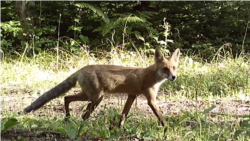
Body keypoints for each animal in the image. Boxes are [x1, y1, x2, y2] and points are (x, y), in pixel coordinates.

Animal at [22, 48, 180, 128]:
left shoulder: (131, 95)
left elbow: (123, 115)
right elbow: (161, 117)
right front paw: (167, 129)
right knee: (83, 115)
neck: (152, 76)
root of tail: (82, 69)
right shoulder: (150, 100)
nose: (173, 77)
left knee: (66, 98)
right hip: (97, 97)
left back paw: (67, 118)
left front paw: (119, 129)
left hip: (88, 96)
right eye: (165, 69)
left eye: (174, 68)